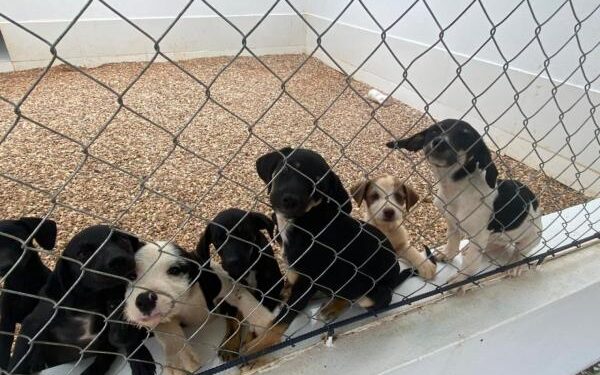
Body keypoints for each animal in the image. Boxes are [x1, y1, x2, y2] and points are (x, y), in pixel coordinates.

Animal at [195, 210, 284, 360]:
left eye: (245, 234)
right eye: (218, 240)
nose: (232, 262)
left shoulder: (270, 288)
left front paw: (251, 343)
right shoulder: (233, 291)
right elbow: (234, 320)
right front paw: (230, 344)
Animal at [244, 147, 418, 356]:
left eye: (318, 185)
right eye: (287, 168)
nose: (290, 201)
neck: (304, 222)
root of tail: (394, 278)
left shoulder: (306, 284)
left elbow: (281, 321)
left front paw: (256, 347)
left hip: (369, 294)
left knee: (355, 296)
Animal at [390, 119, 544, 286]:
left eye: (465, 136)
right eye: (435, 131)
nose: (439, 142)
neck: (457, 189)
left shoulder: (479, 235)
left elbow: (470, 264)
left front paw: (461, 280)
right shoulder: (452, 224)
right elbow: (453, 243)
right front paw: (448, 255)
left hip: (530, 239)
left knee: (519, 253)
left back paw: (514, 265)